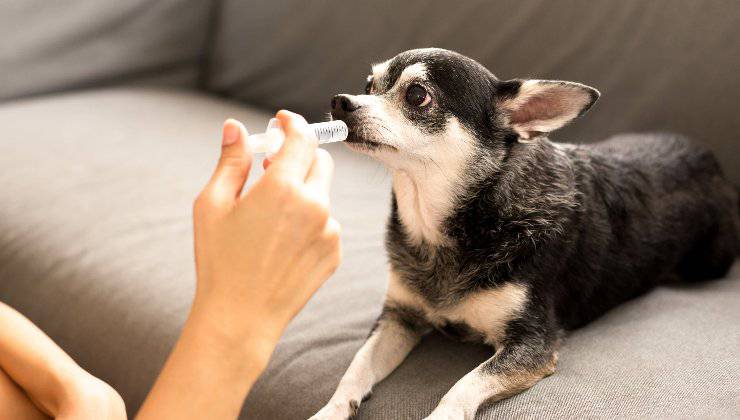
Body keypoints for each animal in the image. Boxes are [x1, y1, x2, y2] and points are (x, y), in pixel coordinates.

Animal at [310, 47, 736, 418]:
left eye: (417, 96)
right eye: (369, 86)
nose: (340, 101)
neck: (448, 227)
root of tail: (712, 160)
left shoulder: (531, 345)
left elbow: (462, 386)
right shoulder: (400, 317)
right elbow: (356, 367)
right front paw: (330, 411)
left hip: (707, 263)